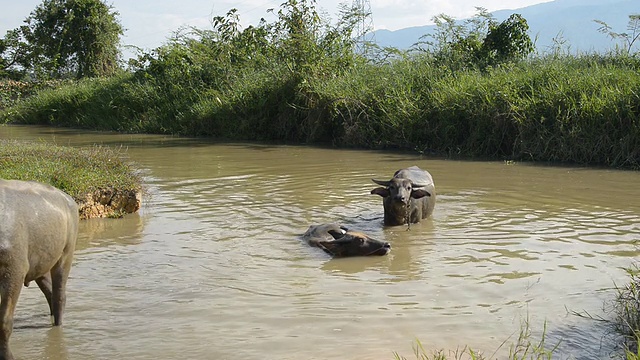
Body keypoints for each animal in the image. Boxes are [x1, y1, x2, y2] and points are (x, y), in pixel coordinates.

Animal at [0, 180, 78, 360]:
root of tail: (69, 200)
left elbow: (5, 322)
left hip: (66, 255)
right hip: (41, 267)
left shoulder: (14, 271)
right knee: (49, 292)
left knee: (59, 296)